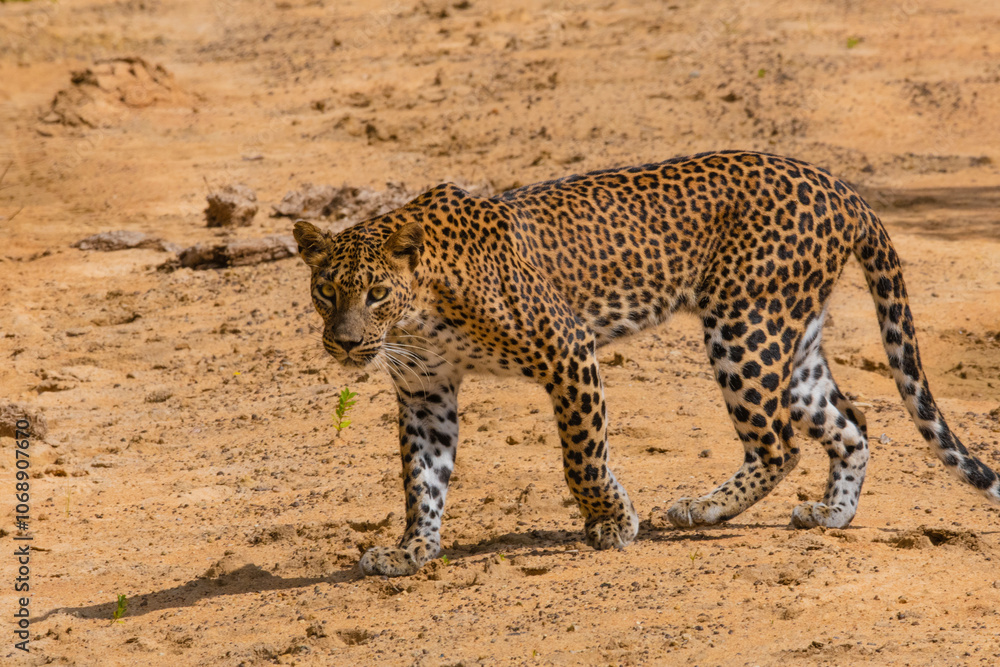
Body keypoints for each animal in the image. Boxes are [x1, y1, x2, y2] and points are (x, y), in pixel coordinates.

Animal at [293, 150, 1000, 577]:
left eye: (375, 293)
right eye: (326, 290)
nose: (345, 344)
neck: (420, 314)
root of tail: (839, 185)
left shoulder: (568, 352)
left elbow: (582, 458)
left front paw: (612, 523)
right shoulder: (426, 393)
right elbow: (422, 478)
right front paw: (412, 550)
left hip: (744, 329)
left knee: (779, 443)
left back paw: (701, 510)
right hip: (790, 341)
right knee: (849, 423)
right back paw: (829, 514)